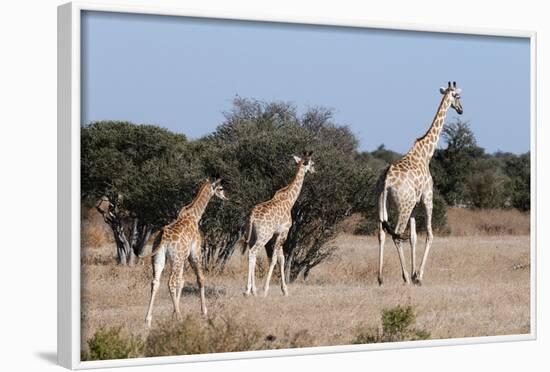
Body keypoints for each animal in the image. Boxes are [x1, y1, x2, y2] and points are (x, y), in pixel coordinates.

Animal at [144, 179, 229, 326]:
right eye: (220, 188)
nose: (226, 197)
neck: (195, 215)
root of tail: (163, 238)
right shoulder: (195, 253)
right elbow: (200, 279)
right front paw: (203, 312)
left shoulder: (183, 257)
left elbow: (182, 281)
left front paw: (174, 312)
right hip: (177, 258)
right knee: (171, 282)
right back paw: (180, 317)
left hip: (159, 258)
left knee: (155, 282)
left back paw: (148, 319)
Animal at [245, 151, 316, 296]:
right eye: (312, 163)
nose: (314, 170)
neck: (290, 199)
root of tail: (252, 217)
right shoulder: (284, 232)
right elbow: (274, 259)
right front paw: (266, 289)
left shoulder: (278, 234)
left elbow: (281, 259)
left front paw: (285, 290)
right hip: (264, 236)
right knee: (253, 253)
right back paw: (249, 290)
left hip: (252, 236)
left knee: (251, 254)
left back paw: (252, 290)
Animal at [378, 80, 464, 284]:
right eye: (458, 96)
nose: (461, 110)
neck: (426, 154)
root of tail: (386, 181)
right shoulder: (427, 198)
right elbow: (430, 235)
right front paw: (418, 276)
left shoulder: (415, 206)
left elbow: (414, 237)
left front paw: (414, 271)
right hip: (404, 205)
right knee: (397, 235)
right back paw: (405, 278)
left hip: (381, 203)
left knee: (382, 233)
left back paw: (380, 277)